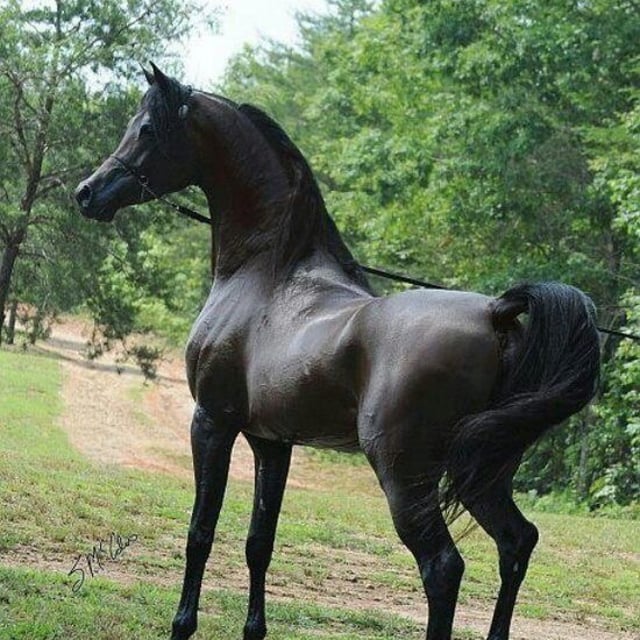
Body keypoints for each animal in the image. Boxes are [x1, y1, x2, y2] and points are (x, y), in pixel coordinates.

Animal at [75, 64, 600, 640]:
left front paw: (181, 625)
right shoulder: (272, 442)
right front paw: (253, 630)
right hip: (483, 471)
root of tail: (497, 312)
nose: (86, 193)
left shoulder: (211, 422)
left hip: (405, 476)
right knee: (516, 543)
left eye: (146, 129)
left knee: (444, 568)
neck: (267, 273)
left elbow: (200, 533)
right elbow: (259, 543)